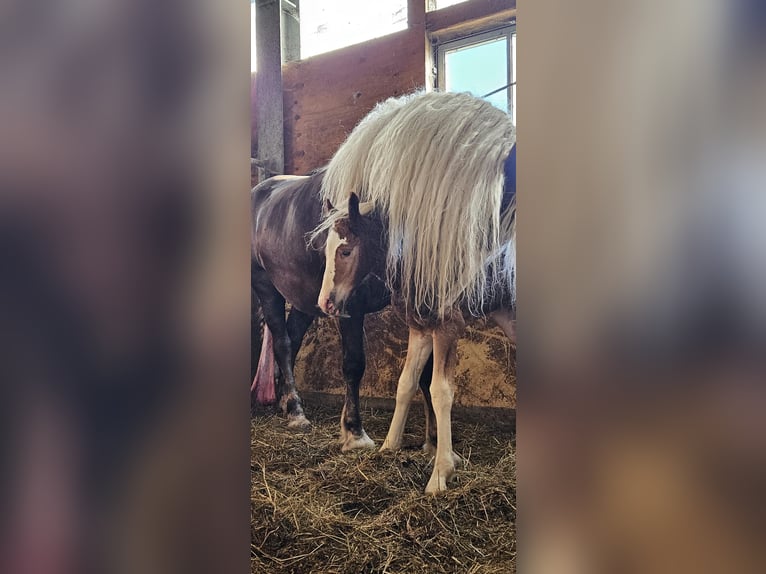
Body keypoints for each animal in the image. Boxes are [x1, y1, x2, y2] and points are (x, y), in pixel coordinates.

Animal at [249, 173, 436, 452]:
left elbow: (425, 372)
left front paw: (433, 442)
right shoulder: (350, 307)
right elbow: (354, 364)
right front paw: (354, 432)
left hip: (305, 302)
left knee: (293, 340)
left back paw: (286, 402)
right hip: (267, 287)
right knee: (282, 343)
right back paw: (296, 412)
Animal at [316, 92, 520, 492]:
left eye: (346, 251)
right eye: (326, 249)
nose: (325, 303)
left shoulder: (447, 326)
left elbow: (441, 392)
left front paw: (441, 473)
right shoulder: (420, 325)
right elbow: (406, 383)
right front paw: (389, 447)